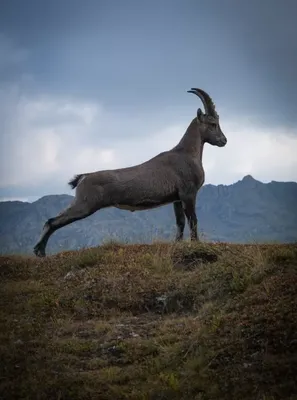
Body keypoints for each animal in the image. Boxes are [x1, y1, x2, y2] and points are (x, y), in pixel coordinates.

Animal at [32, 87, 227, 256]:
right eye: (213, 124)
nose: (224, 141)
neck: (186, 153)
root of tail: (83, 178)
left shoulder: (177, 199)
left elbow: (180, 222)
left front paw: (177, 243)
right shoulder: (188, 194)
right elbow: (193, 220)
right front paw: (196, 244)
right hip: (85, 204)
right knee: (52, 221)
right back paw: (40, 251)